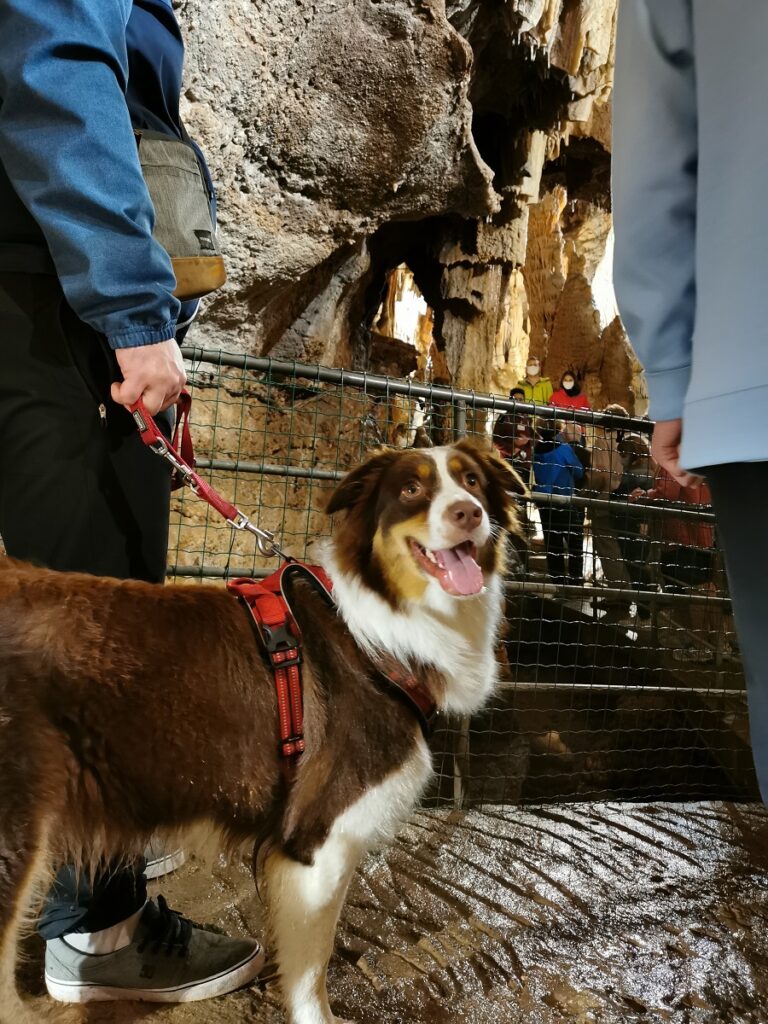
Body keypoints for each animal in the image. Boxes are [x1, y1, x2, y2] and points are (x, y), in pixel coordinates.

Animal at [0, 440, 524, 1024]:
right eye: (411, 489)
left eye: (472, 481)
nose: (468, 514)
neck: (376, 633)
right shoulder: (317, 841)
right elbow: (310, 970)